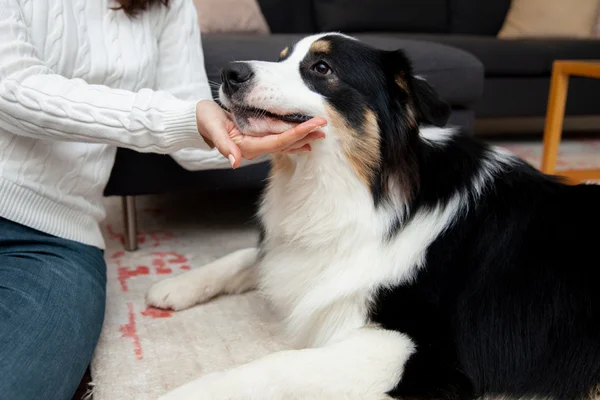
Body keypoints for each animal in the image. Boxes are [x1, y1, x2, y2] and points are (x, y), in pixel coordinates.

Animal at [146, 32, 600, 398]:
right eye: (282, 57)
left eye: (322, 67)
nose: (229, 72)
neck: (361, 189)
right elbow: (247, 255)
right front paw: (176, 285)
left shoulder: (423, 351)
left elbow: (275, 366)